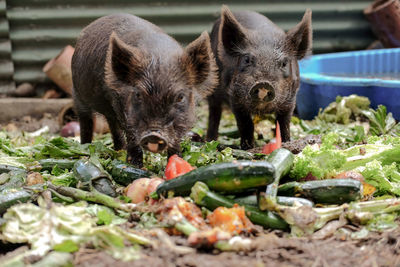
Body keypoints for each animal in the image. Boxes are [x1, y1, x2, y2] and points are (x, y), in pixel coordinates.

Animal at [70, 14, 217, 168]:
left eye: (180, 97)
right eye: (138, 94)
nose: (154, 134)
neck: (159, 56)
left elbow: (176, 139)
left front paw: (177, 159)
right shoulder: (121, 106)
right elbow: (131, 133)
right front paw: (135, 165)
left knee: (112, 124)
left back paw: (119, 149)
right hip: (77, 93)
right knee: (86, 121)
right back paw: (85, 149)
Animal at [206, 5, 312, 150]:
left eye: (284, 63)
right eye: (247, 59)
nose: (263, 83)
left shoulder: (291, 100)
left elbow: (284, 123)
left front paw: (286, 143)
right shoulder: (234, 97)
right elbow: (245, 124)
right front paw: (248, 147)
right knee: (214, 112)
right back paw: (210, 141)